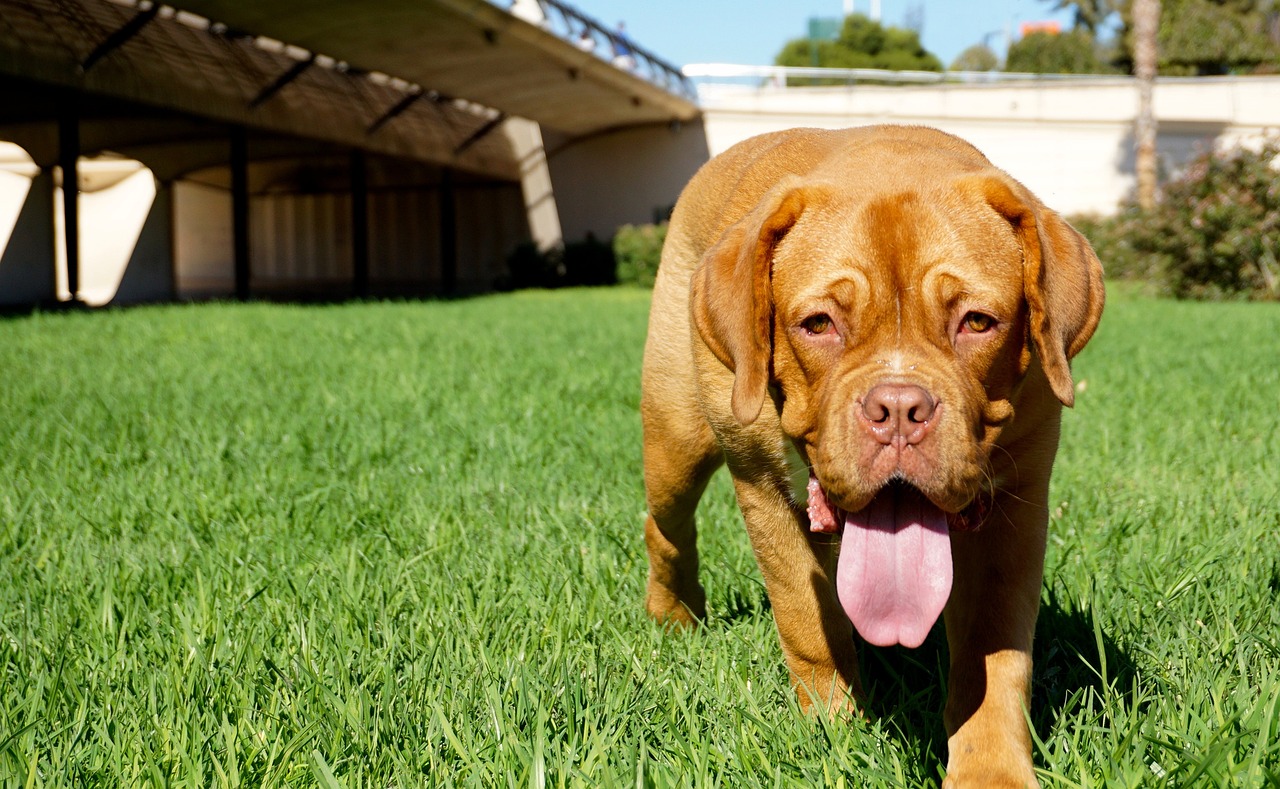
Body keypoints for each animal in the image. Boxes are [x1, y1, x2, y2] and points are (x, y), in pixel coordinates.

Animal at [645, 126, 1105, 783]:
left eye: (977, 321)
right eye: (818, 324)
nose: (898, 409)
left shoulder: (1013, 511)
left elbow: (994, 655)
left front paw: (989, 771)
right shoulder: (763, 492)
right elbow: (807, 624)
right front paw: (834, 734)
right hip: (676, 437)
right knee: (668, 527)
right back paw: (674, 616)